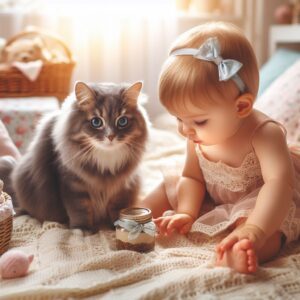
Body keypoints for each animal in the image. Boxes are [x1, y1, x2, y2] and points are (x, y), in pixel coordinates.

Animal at [9, 81, 149, 231]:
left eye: (122, 121)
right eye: (96, 122)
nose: (110, 136)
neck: (105, 157)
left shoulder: (121, 187)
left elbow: (118, 209)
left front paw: (117, 226)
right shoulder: (73, 184)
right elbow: (80, 209)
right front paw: (82, 229)